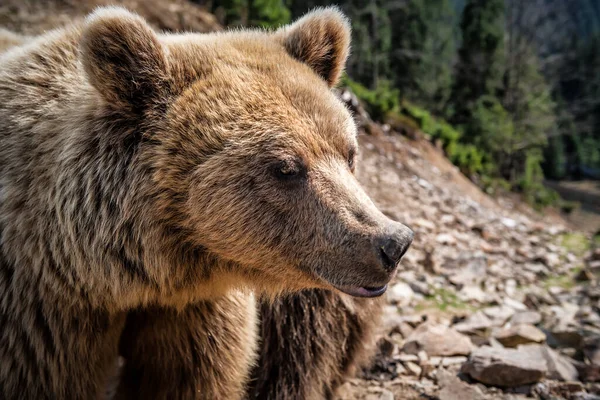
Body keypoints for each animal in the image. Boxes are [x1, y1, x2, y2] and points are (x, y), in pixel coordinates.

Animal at [0, 7, 412, 400]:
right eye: (286, 168)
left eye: (349, 153)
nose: (393, 242)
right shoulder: (40, 311)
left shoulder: (195, 312)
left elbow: (184, 380)